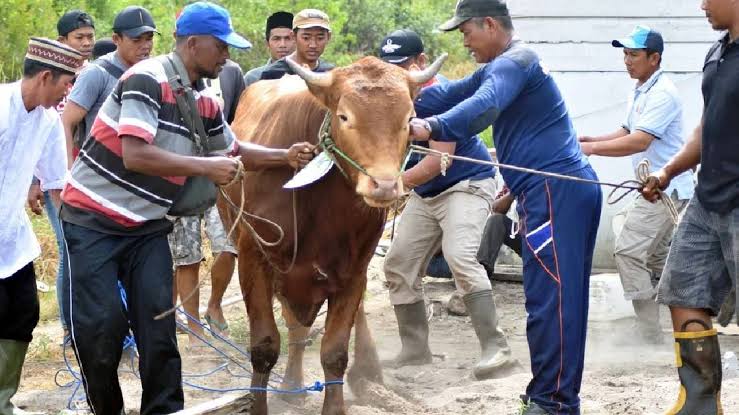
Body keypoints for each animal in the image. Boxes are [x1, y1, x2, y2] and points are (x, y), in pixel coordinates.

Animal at [221, 56, 446, 415]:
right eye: (344, 116)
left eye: (409, 118)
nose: (384, 185)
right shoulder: (254, 260)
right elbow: (265, 347)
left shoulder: (353, 273)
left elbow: (335, 352)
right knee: (294, 329)